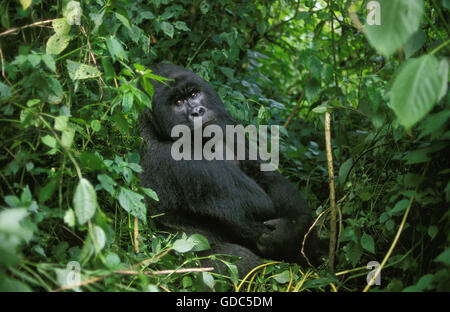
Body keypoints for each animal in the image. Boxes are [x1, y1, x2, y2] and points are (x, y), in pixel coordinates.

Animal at [139, 63, 322, 276]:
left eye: (194, 94)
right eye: (177, 101)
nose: (198, 111)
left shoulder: (225, 123)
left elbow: (266, 176)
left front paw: (293, 229)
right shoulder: (173, 159)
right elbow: (258, 208)